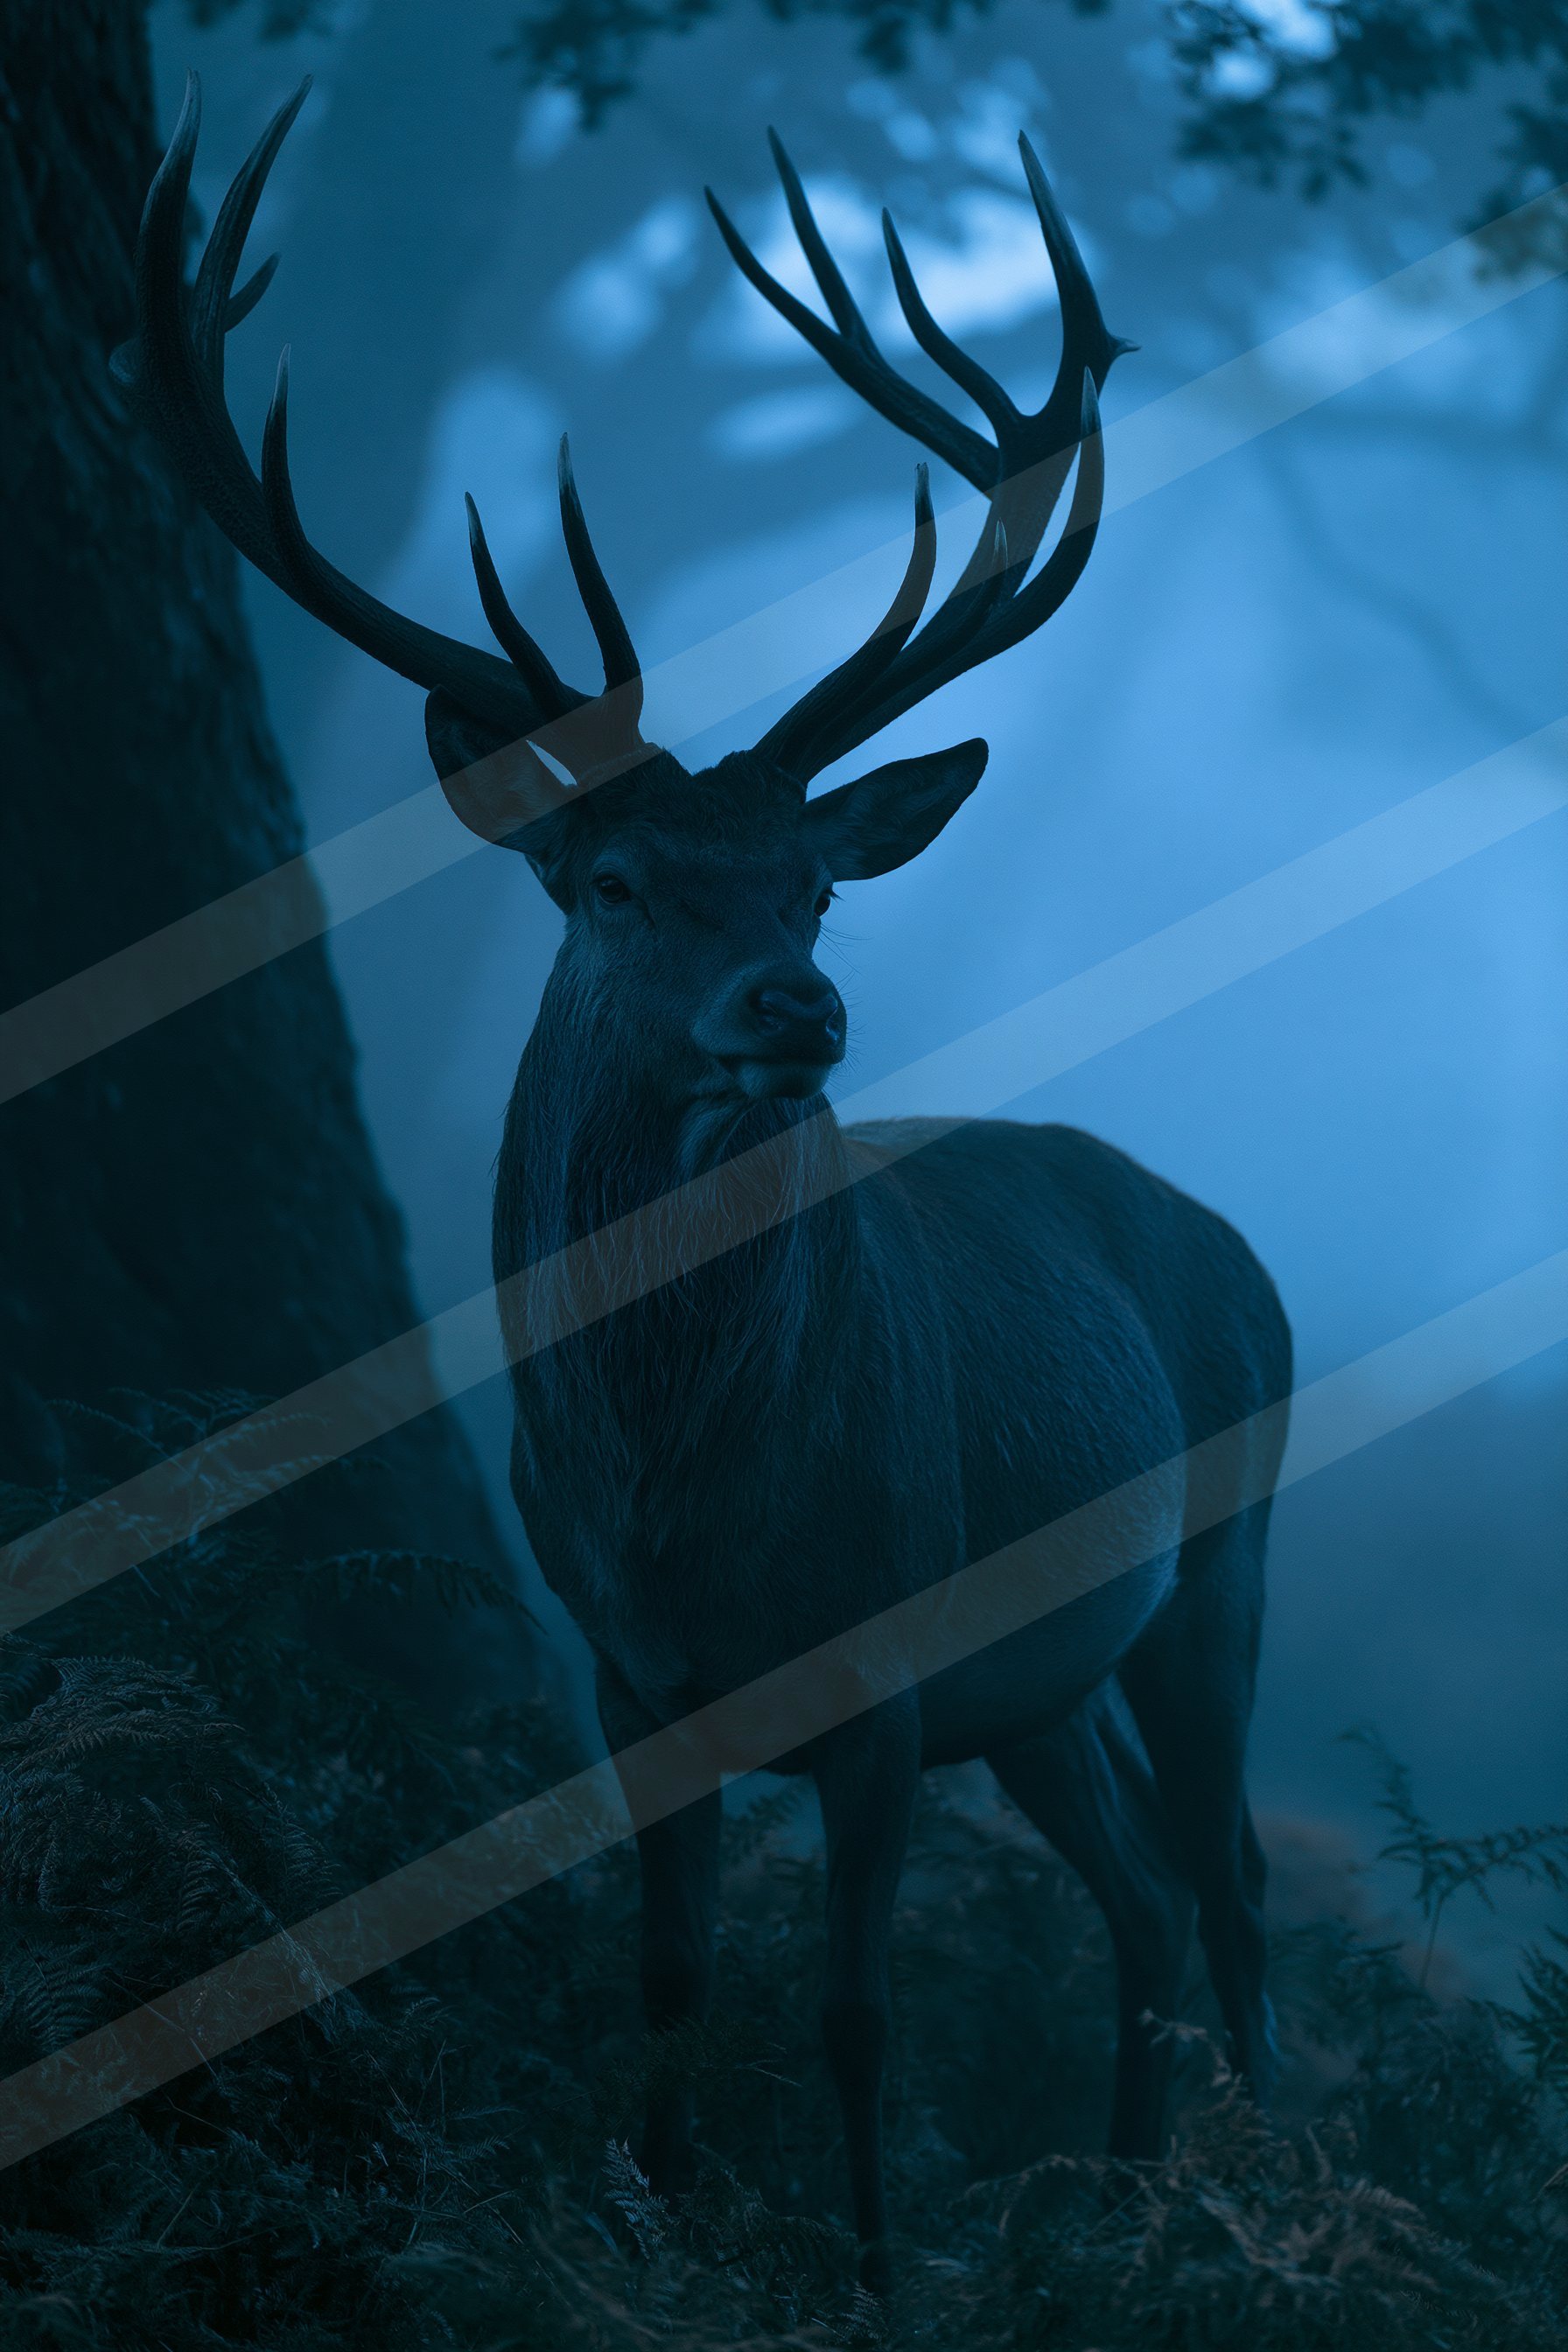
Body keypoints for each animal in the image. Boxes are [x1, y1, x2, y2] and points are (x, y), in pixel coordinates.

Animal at [119, 78, 1293, 2290]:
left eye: (814, 881)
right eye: (612, 879)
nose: (799, 1010)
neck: (689, 1508)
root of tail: (1227, 1237)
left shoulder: (887, 1670)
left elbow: (853, 2008)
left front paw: (864, 2272)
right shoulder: (620, 1669)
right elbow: (663, 1974)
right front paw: (651, 2214)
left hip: (1223, 1549)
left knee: (1237, 1886)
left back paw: (1260, 2233)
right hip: (1044, 1675)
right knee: (1141, 1897)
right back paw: (1114, 2217)